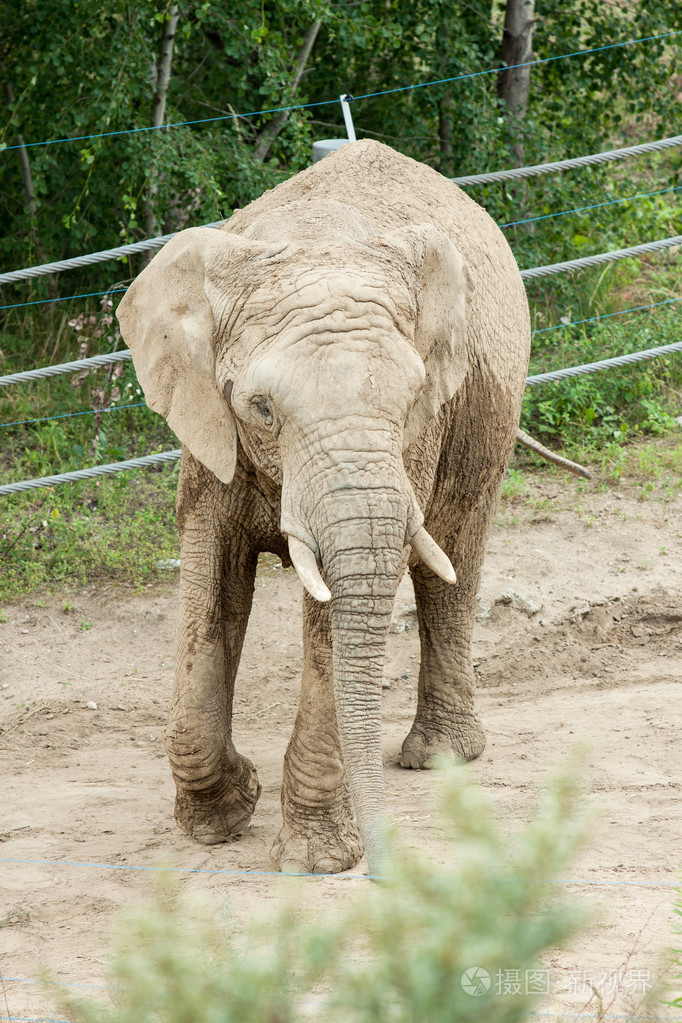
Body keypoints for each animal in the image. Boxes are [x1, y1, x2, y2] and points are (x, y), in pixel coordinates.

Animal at [116, 139, 531, 876]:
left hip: (488, 417)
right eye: (260, 407)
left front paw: (314, 860)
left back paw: (440, 758)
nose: (387, 871)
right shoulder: (209, 425)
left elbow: (334, 614)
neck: (314, 242)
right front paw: (223, 817)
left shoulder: (417, 436)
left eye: (412, 397)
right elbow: (210, 580)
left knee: (453, 558)